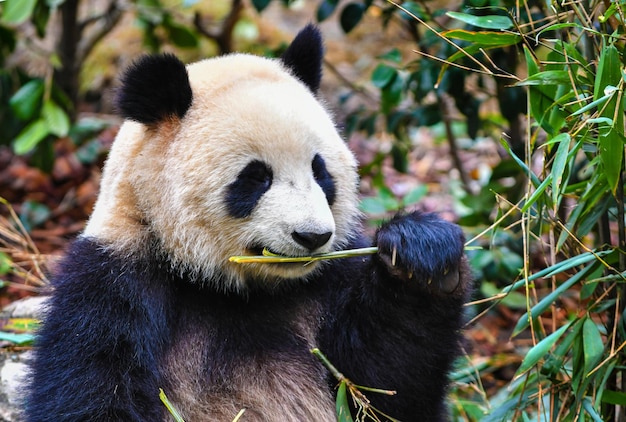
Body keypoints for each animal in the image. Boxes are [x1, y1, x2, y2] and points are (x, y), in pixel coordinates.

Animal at [26, 24, 470, 420]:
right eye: (256, 177)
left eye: (320, 171)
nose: (312, 236)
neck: (236, 289)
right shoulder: (112, 283)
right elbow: (92, 389)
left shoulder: (330, 280)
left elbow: (382, 388)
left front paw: (422, 257)